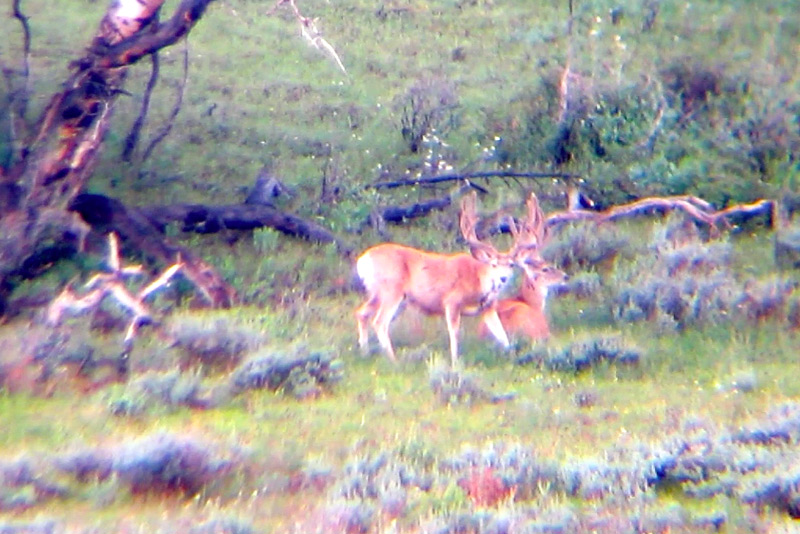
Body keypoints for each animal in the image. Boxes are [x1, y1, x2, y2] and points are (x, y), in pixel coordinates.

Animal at [352, 194, 516, 368]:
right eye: (494, 264)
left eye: (512, 264)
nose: (503, 278)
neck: (477, 279)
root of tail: (363, 260)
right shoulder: (451, 301)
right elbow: (454, 332)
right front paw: (455, 362)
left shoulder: (488, 308)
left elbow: (502, 335)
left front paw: (512, 358)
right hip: (392, 290)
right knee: (380, 322)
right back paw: (394, 361)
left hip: (379, 294)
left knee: (361, 313)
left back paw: (365, 353)